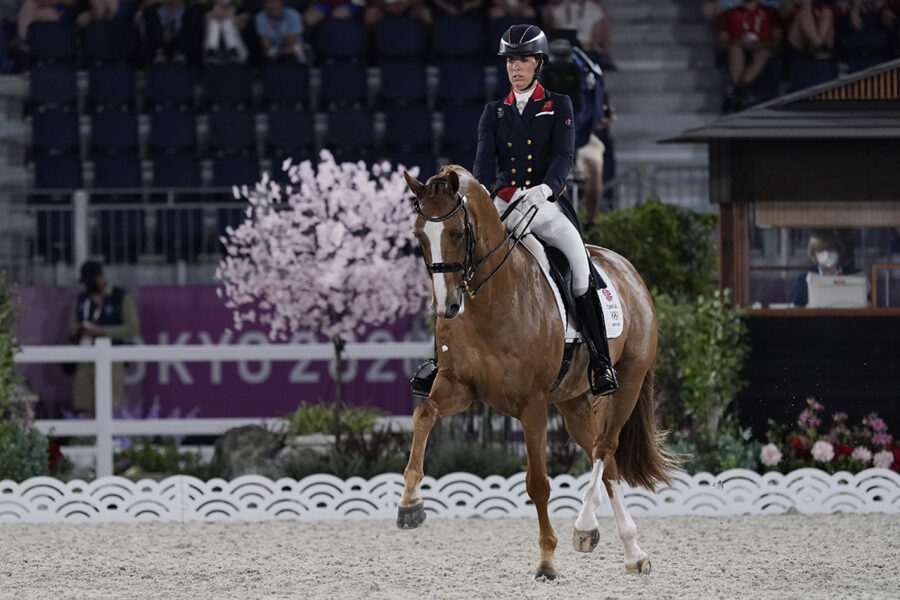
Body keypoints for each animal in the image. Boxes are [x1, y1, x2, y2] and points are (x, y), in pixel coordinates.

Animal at [400, 166, 676, 580]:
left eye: (458, 233)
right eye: (419, 235)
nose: (446, 306)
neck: (491, 299)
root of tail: (627, 269)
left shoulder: (531, 406)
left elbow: (538, 484)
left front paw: (546, 560)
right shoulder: (458, 386)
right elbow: (423, 414)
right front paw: (410, 503)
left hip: (627, 381)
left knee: (605, 447)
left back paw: (585, 526)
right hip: (574, 403)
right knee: (605, 458)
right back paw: (629, 550)